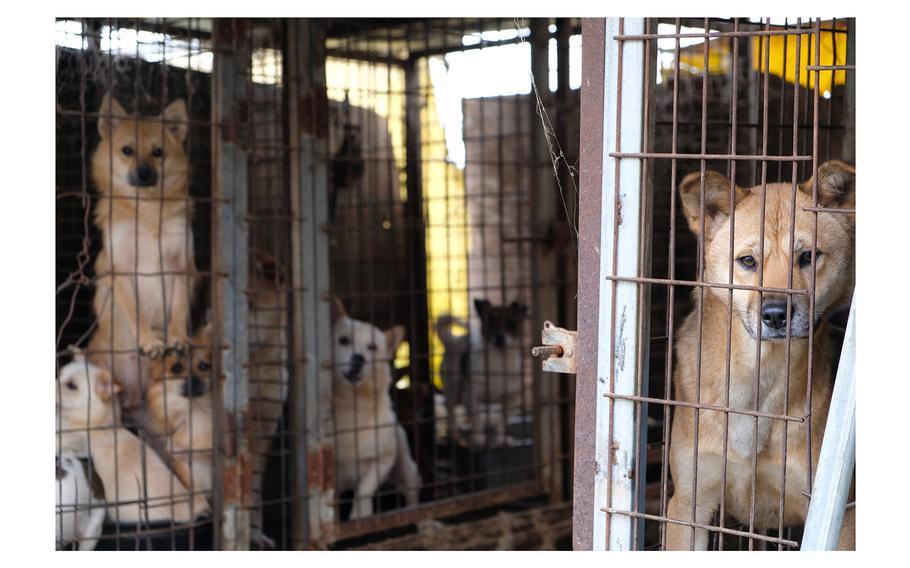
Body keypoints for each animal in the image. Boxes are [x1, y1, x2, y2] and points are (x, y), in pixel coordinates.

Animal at [87, 94, 198, 412]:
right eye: (127, 150)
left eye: (158, 152)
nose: (145, 173)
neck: (146, 209)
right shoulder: (120, 269)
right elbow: (135, 312)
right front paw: (149, 341)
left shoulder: (179, 265)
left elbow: (178, 308)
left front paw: (177, 336)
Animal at [332, 300, 424, 520]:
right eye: (343, 340)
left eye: (372, 347)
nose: (359, 358)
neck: (353, 405)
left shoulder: (383, 460)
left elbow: (365, 487)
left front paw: (360, 514)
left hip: (406, 469)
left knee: (412, 496)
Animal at [668, 160, 860, 552]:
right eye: (747, 261)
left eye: (807, 256)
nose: (774, 314)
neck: (758, 380)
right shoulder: (687, 505)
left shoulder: (838, 515)